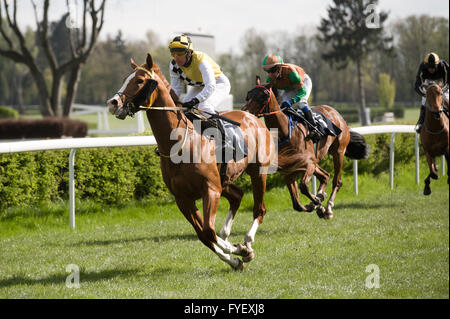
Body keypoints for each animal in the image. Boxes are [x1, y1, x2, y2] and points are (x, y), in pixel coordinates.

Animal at [107, 53, 276, 272]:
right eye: (126, 78)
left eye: (140, 80)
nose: (113, 103)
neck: (180, 144)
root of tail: (251, 116)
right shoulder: (183, 199)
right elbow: (204, 235)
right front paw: (234, 257)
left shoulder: (210, 190)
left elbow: (209, 230)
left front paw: (239, 249)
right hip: (224, 180)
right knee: (237, 196)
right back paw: (232, 238)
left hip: (258, 171)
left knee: (259, 209)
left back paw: (247, 242)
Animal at [243, 79, 370, 221]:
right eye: (248, 95)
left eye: (263, 95)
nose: (245, 111)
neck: (284, 131)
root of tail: (335, 112)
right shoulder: (289, 171)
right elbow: (297, 204)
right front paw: (316, 204)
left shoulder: (307, 163)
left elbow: (303, 187)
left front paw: (319, 204)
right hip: (315, 162)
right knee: (325, 176)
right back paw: (320, 200)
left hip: (338, 152)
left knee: (337, 181)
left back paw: (328, 208)